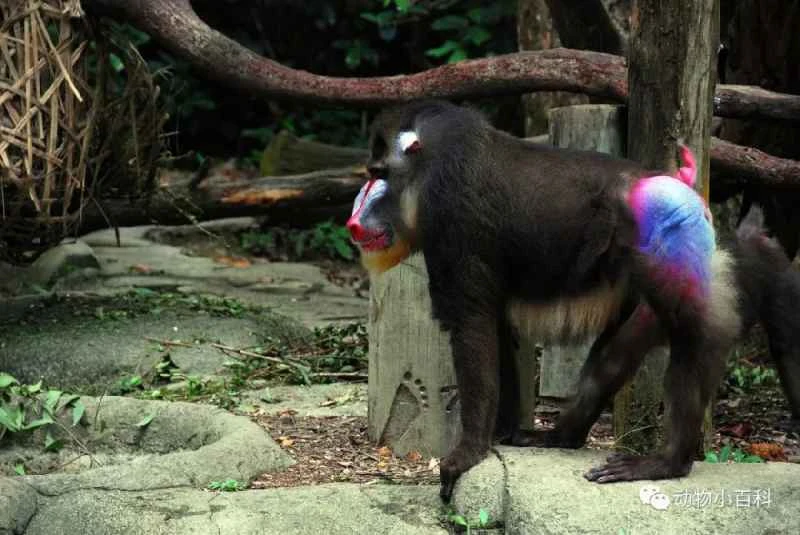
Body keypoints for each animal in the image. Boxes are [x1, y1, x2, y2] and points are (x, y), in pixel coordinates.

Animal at [346, 99, 799, 502]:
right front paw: (502, 433)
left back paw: (667, 462)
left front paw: (466, 454)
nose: (353, 219)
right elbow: (498, 335)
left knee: (699, 336)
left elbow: (473, 330)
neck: (432, 167)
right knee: (615, 354)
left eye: (380, 173)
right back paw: (560, 436)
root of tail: (676, 185)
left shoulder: (454, 229)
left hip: (674, 256)